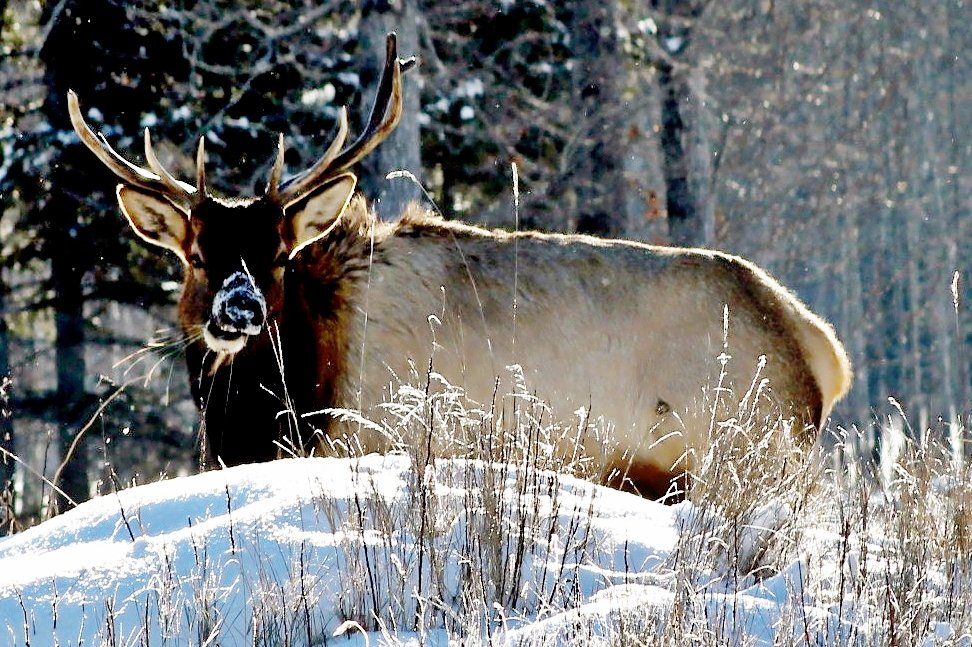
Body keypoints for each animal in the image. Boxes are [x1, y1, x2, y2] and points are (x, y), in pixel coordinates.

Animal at [69, 33, 851, 500]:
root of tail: (820, 349)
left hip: (745, 455)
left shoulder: (377, 438)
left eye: (278, 258)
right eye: (198, 255)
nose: (240, 309)